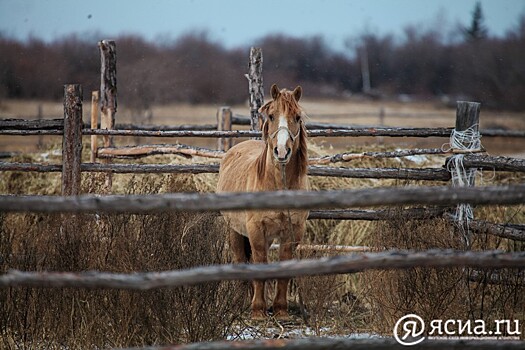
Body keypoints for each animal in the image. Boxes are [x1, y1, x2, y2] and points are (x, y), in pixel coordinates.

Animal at [216, 83, 310, 318]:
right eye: (271, 115)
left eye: (297, 117)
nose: (282, 151)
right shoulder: (255, 229)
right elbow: (259, 263)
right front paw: (258, 311)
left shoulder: (293, 231)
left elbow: (283, 267)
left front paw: (280, 310)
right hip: (234, 230)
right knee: (240, 261)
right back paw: (241, 303)